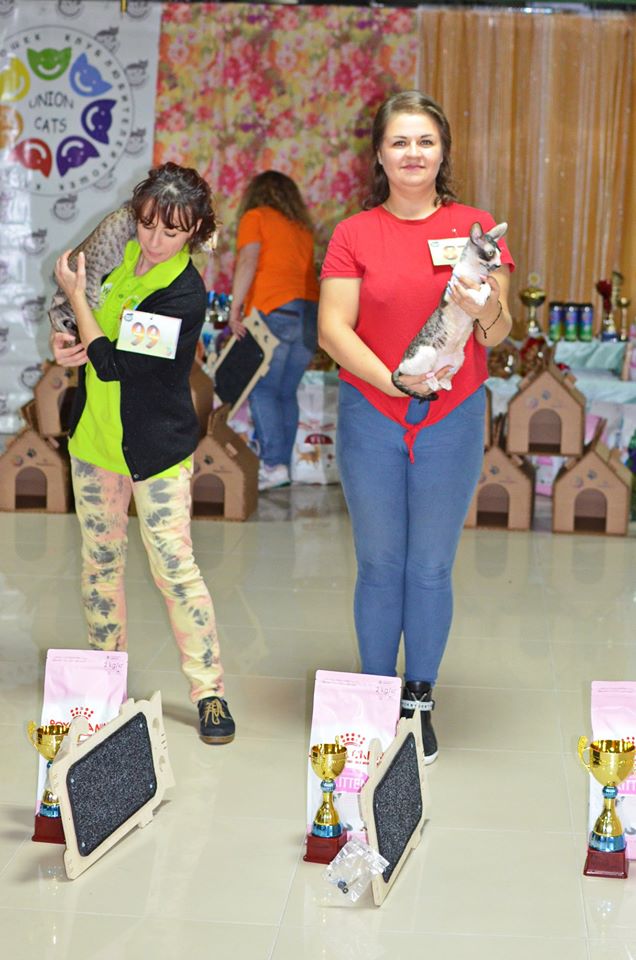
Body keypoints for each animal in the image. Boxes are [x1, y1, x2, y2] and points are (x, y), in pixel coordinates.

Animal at [392, 221, 508, 398]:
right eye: (490, 253)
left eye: (500, 254)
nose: (498, 265)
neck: (475, 272)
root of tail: (402, 362)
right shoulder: (452, 291)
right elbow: (471, 290)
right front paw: (479, 297)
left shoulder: (483, 281)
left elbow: (487, 284)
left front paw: (483, 293)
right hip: (426, 354)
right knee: (417, 375)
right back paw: (431, 381)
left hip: (459, 358)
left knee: (442, 374)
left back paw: (444, 382)